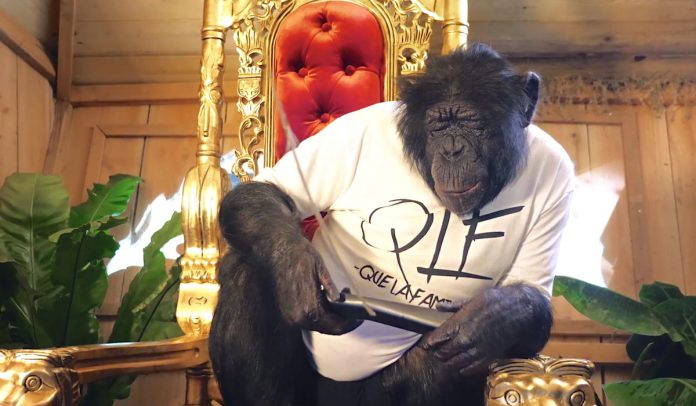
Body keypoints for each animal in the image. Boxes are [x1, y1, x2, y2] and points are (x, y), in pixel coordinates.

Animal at [210, 43, 574, 406]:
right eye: (439, 126)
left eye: (471, 123)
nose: (453, 150)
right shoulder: (350, 133)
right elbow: (266, 192)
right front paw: (298, 272)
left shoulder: (559, 173)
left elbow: (528, 299)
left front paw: (490, 321)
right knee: (248, 264)